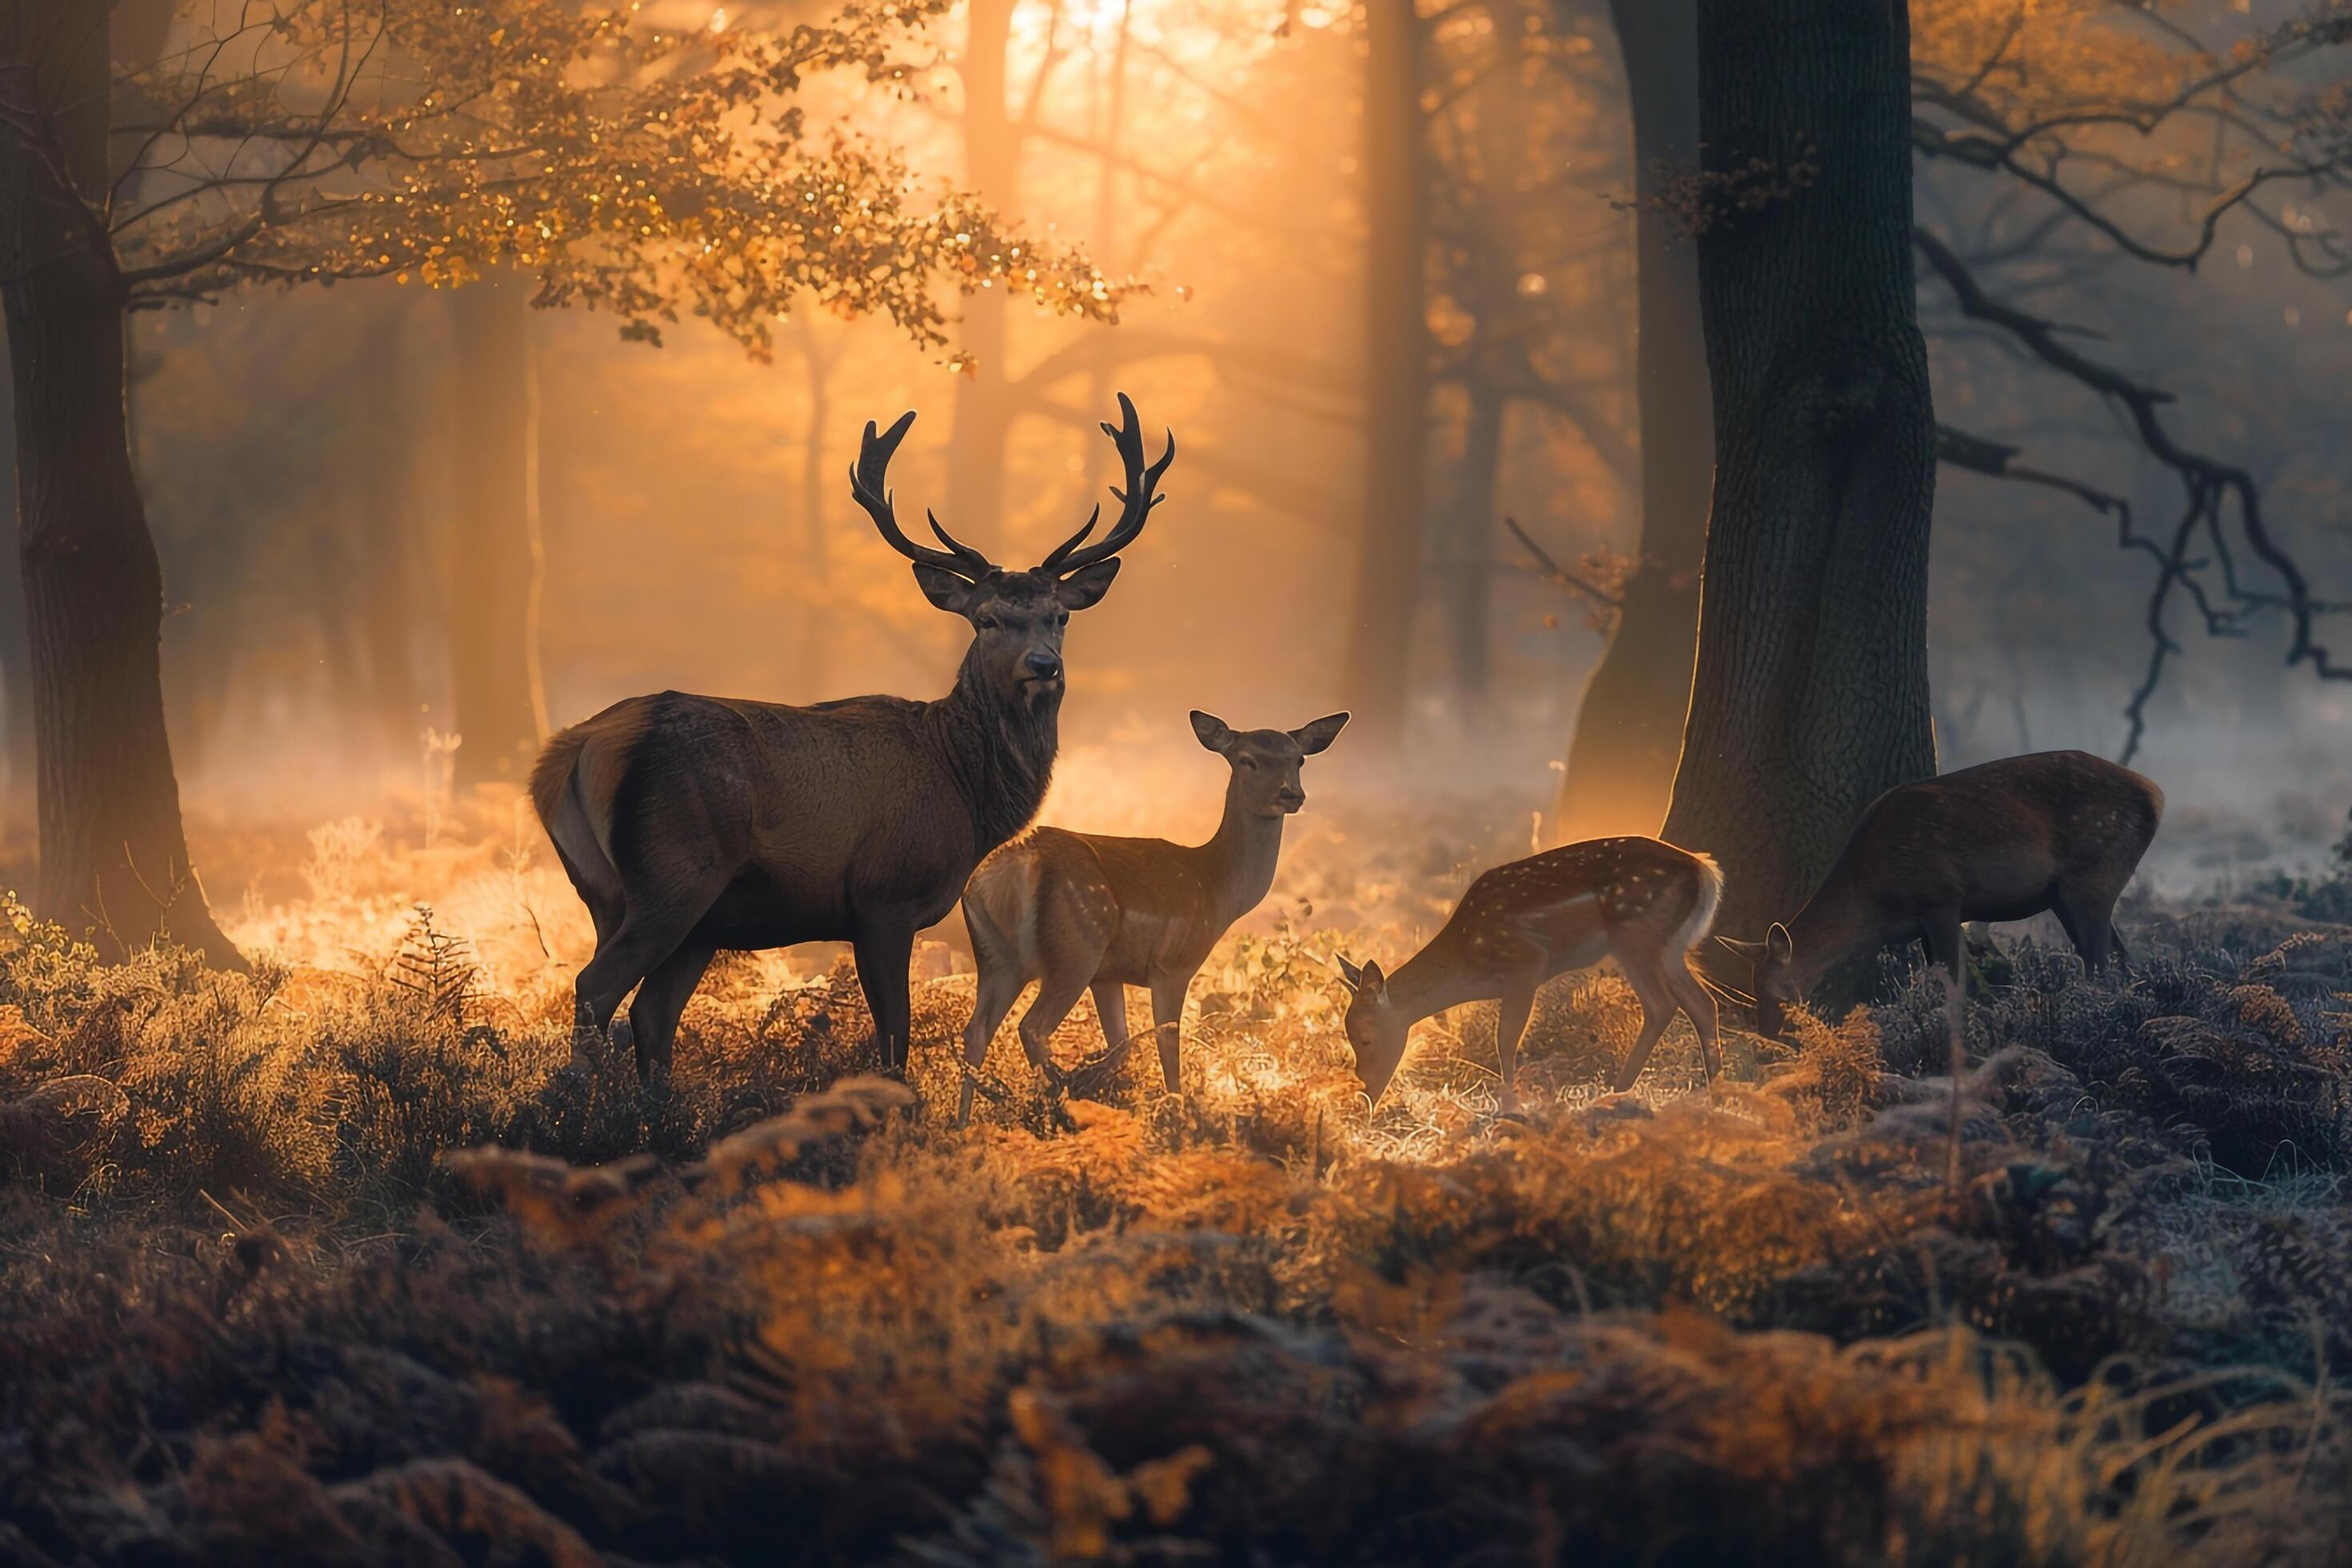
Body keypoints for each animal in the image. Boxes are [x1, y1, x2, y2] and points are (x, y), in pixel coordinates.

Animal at [524, 394, 1166, 1081]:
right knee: (595, 988)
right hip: (673, 871)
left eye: (1060, 615)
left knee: (650, 1013)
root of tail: (569, 753)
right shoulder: (885, 895)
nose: (1043, 665)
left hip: (632, 899)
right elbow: (894, 1037)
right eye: (987, 618)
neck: (967, 795)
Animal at [954, 710, 1354, 1128]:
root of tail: (1006, 872)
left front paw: (1098, 1080)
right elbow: (1167, 1046)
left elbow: (1121, 1044)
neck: (1218, 888)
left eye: (1299, 760)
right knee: (1031, 1027)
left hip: (999, 958)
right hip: (1076, 948)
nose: (1290, 794)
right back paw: (1054, 1100)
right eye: (1247, 759)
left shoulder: (1109, 974)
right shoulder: (1172, 965)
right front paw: (1174, 1114)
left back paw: (967, 1123)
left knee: (976, 1031)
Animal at [1345, 841, 1730, 1109]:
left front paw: (1510, 1104)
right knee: (1702, 1003)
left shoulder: (1526, 963)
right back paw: (1716, 1094)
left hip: (1636, 936)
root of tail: (1705, 871)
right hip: (1668, 948)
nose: (1365, 1092)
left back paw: (1617, 1090)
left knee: (1662, 1005)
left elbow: (1505, 1039)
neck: (1469, 959)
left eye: (1365, 1038)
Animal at [1722, 752, 2154, 1034]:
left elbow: (1955, 983)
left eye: (1780, 994)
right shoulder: (1922, 924)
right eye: (1751, 991)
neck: (1876, 901)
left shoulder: (1942, 898)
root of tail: (2154, 795)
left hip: (2093, 874)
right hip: (2068, 895)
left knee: (2100, 963)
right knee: (2120, 958)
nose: (1768, 1038)